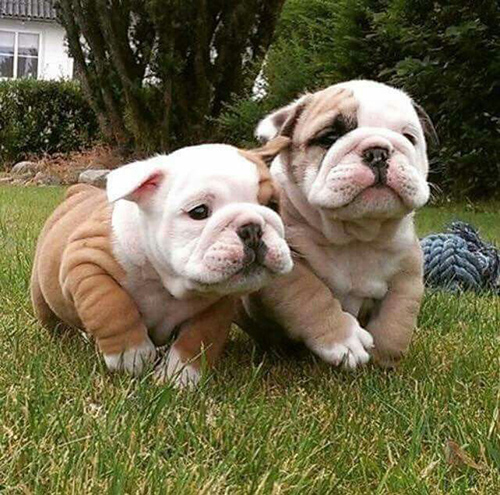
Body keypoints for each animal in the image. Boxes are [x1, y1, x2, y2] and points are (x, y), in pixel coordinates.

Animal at [31, 139, 292, 388]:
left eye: (273, 205)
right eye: (199, 211)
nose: (252, 229)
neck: (164, 279)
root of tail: (79, 190)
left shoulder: (216, 305)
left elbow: (197, 339)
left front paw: (180, 378)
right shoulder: (86, 262)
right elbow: (110, 304)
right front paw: (130, 354)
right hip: (43, 296)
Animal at [240, 80, 436, 368]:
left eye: (409, 138)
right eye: (329, 138)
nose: (378, 151)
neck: (356, 234)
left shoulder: (408, 272)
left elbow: (397, 317)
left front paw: (383, 358)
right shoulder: (285, 266)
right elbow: (311, 296)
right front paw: (343, 341)